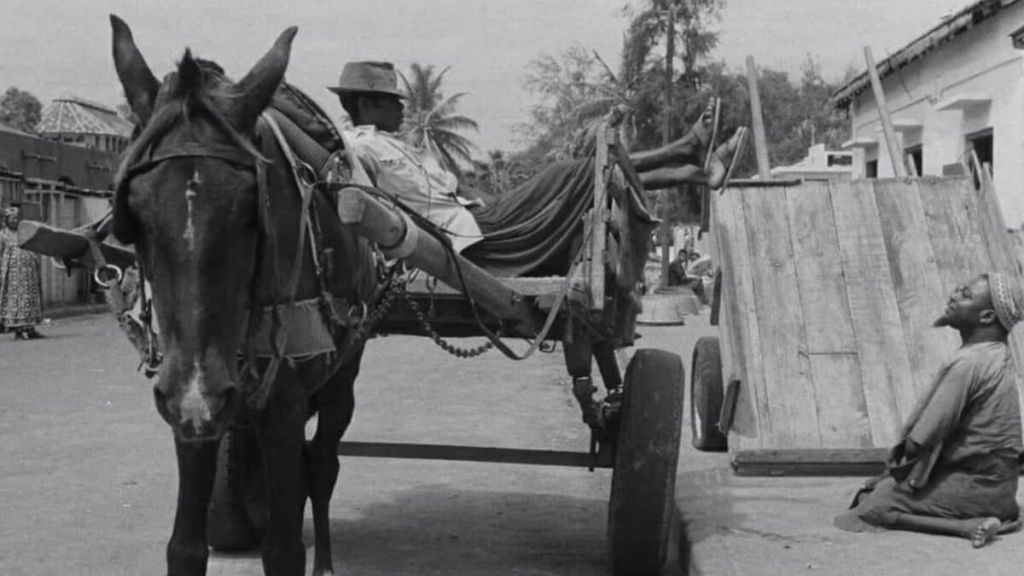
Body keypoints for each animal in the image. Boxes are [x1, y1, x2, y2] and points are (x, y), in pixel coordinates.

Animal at [110, 15, 375, 575]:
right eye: (133, 212)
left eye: (251, 209)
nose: (198, 392)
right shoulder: (188, 406)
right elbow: (185, 548)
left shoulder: (280, 403)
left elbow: (283, 551)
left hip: (344, 369)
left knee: (322, 465)